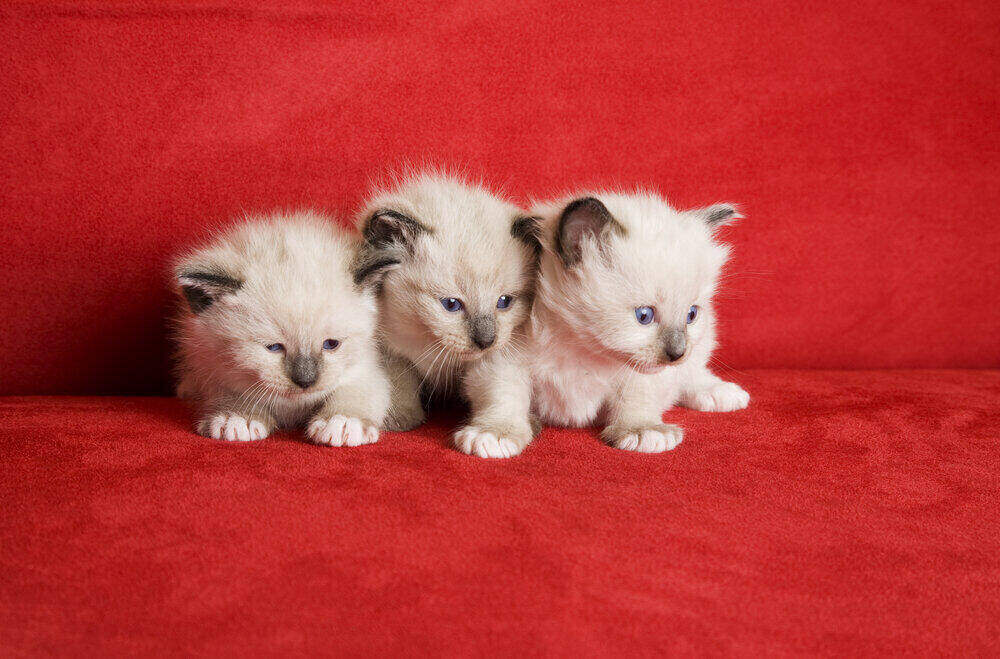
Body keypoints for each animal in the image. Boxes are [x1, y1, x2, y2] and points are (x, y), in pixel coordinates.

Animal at [172, 211, 390, 448]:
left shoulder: (365, 366)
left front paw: (343, 421)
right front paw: (237, 417)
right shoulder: (213, 366)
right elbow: (234, 391)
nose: (305, 381)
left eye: (331, 344)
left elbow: (358, 389)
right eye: (273, 347)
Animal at [352, 173, 540, 456]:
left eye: (504, 302)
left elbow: (501, 393)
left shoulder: (499, 356)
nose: (486, 341)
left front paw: (493, 435)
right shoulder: (390, 350)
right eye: (451, 304)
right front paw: (397, 418)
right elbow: (398, 382)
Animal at [528, 192, 748, 454]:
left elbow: (635, 397)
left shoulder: (643, 376)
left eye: (691, 315)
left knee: (691, 373)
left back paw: (718, 392)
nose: (677, 353)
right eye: (644, 316)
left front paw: (641, 429)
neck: (583, 350)